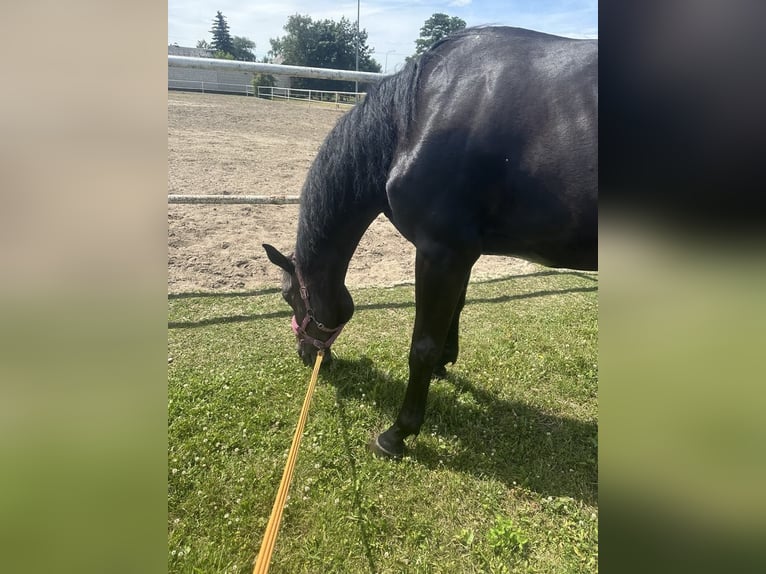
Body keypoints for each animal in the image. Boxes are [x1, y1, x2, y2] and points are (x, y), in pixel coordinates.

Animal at [264, 27, 600, 462]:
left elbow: (421, 344)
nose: (307, 356)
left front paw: (398, 433)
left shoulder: (439, 252)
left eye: (288, 297)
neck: (419, 115)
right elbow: (456, 308)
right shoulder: (462, 252)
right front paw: (444, 363)